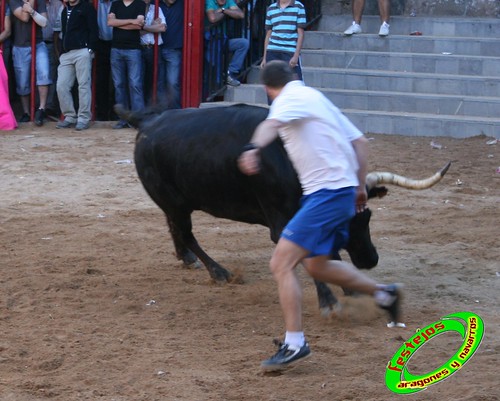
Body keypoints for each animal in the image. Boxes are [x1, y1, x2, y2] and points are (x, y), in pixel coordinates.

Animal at [116, 103, 450, 316]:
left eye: (367, 215)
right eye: (346, 222)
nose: (371, 259)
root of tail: (148, 122)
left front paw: (351, 288)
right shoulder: (284, 225)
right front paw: (329, 300)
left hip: (175, 203)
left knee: (174, 227)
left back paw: (186, 259)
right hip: (173, 200)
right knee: (186, 232)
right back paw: (219, 272)